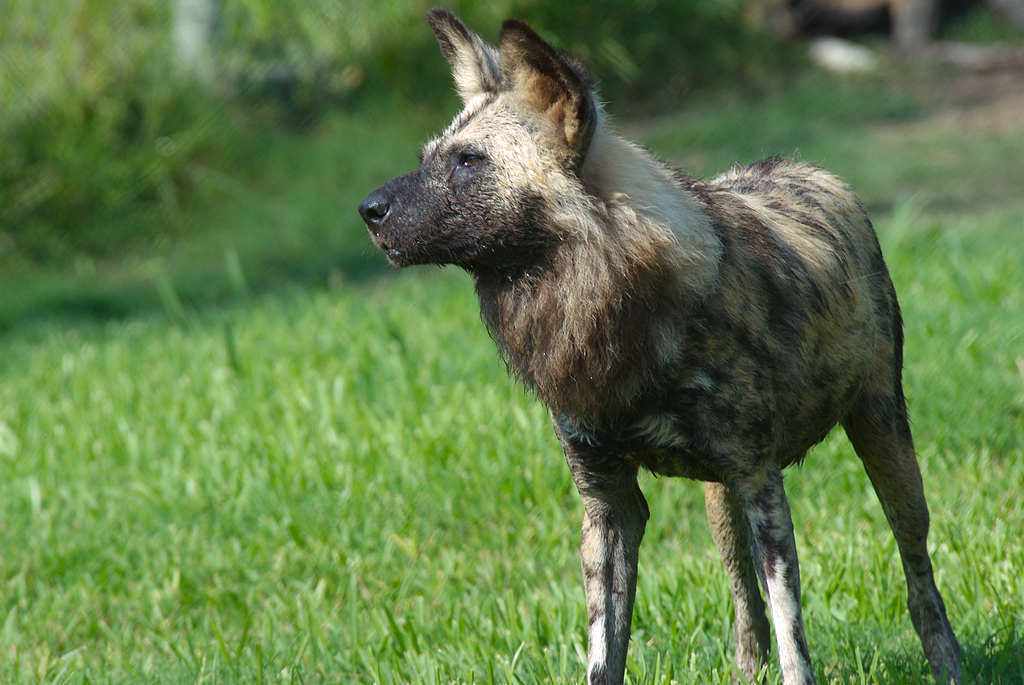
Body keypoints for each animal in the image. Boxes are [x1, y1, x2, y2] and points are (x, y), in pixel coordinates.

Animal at [358, 10, 958, 683]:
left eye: (468, 161)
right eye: (427, 158)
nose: (368, 210)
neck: (604, 306)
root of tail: (805, 167)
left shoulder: (760, 483)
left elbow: (793, 639)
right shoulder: (609, 504)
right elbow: (605, 651)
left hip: (883, 441)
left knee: (916, 569)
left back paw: (948, 661)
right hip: (721, 505)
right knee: (743, 601)